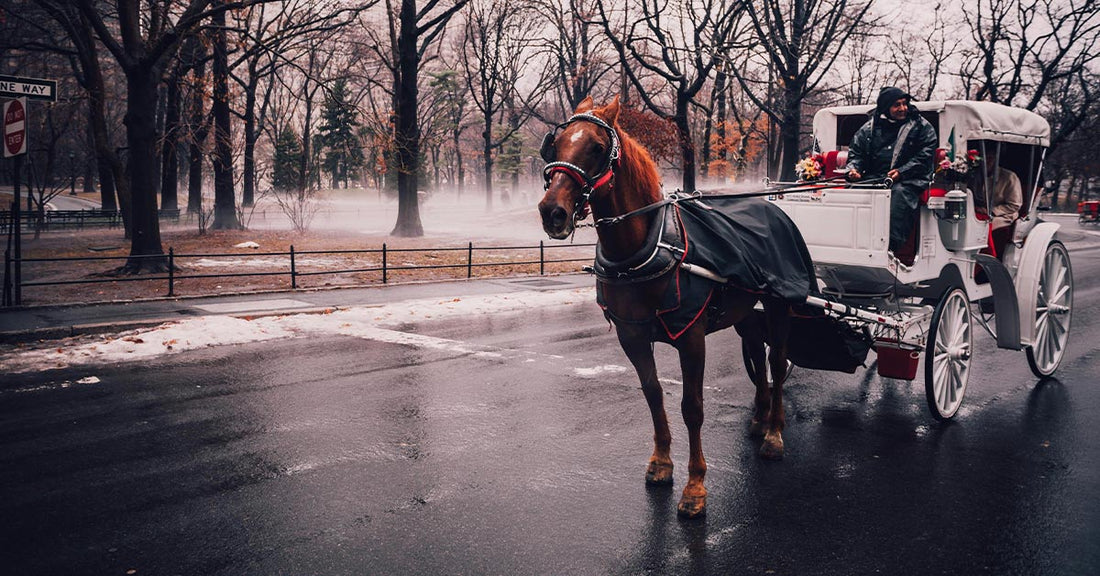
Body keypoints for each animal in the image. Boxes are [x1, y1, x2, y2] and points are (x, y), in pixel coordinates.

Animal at [537, 96, 795, 519]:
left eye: (596, 147)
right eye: (555, 145)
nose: (551, 211)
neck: (644, 247)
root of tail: (771, 208)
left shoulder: (691, 336)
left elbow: (692, 406)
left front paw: (695, 486)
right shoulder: (632, 335)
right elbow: (653, 393)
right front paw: (661, 463)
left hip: (779, 303)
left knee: (776, 360)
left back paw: (774, 432)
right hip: (744, 311)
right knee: (757, 351)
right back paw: (759, 417)